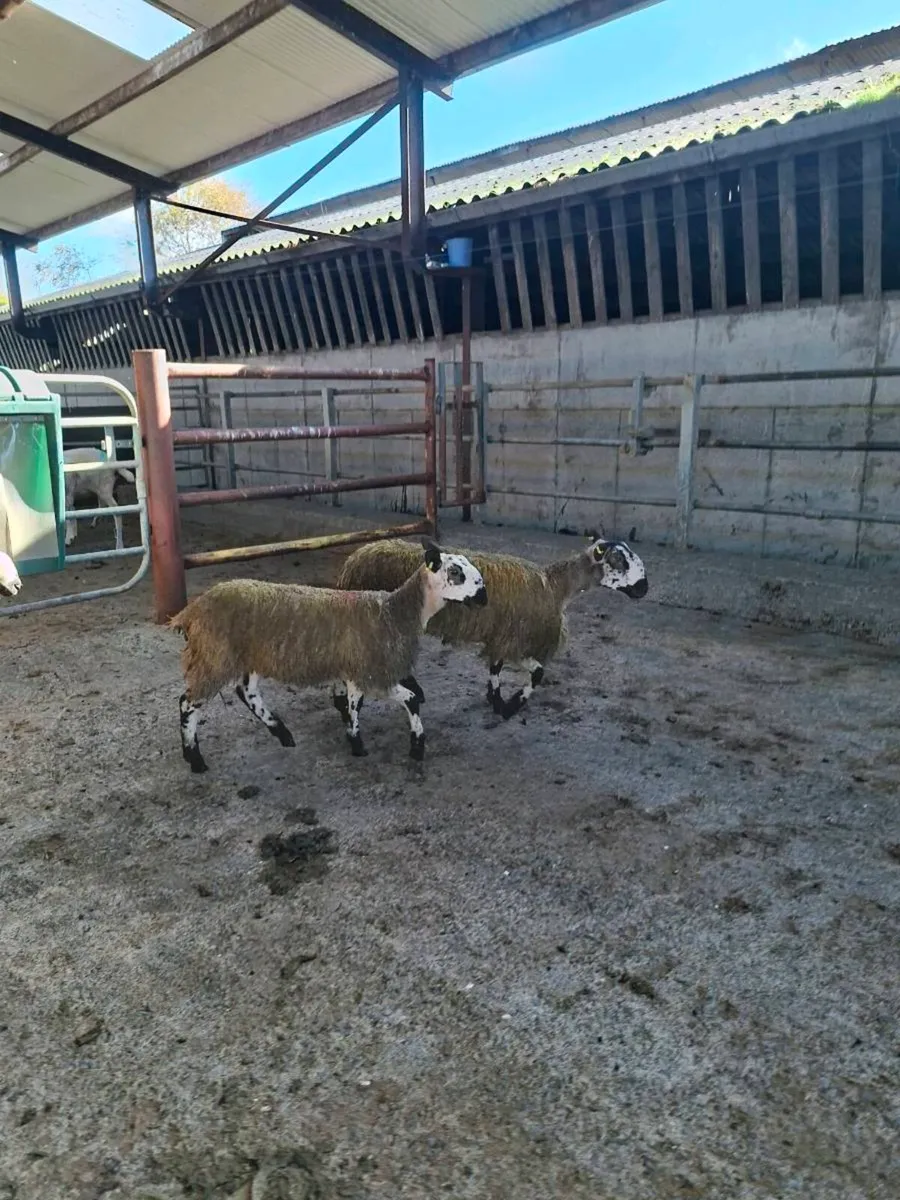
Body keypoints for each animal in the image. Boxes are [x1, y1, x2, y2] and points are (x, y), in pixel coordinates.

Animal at [169, 539, 487, 774]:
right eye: (455, 571)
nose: (484, 596)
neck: (396, 612)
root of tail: (191, 611)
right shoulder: (373, 670)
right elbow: (409, 700)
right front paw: (416, 745)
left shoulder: (356, 669)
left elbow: (355, 704)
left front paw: (355, 740)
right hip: (215, 656)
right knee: (188, 703)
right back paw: (194, 758)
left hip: (250, 655)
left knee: (246, 692)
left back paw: (281, 733)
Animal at [336, 535, 647, 720]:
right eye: (619, 560)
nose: (644, 588)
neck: (554, 586)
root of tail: (355, 558)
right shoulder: (515, 640)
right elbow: (537, 673)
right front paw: (511, 705)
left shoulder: (501, 635)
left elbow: (495, 668)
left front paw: (495, 698)